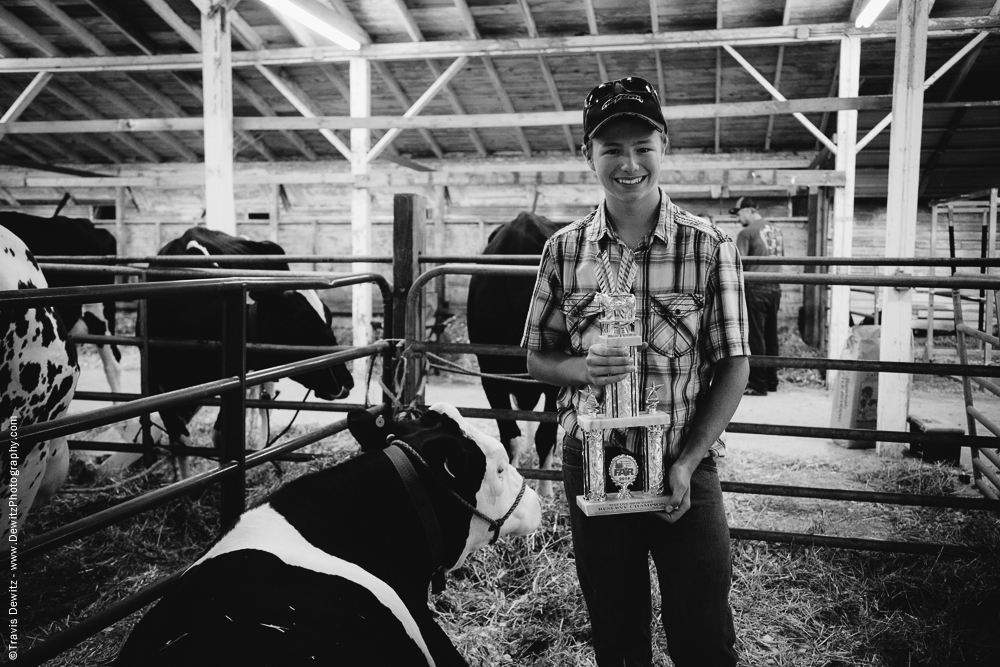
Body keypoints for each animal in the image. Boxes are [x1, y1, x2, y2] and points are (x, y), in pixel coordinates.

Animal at [146, 228, 354, 470]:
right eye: (303, 321)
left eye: (329, 317)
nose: (346, 381)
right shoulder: (156, 386)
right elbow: (180, 440)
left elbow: (220, 437)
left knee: (264, 399)